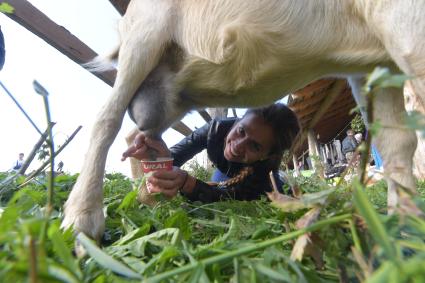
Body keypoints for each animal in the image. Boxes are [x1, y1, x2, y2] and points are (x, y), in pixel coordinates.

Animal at [61, 0, 422, 243]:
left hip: (168, 91)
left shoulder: (374, 65)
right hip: (146, 33)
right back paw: (82, 219)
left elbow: (397, 142)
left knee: (139, 133)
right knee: (106, 118)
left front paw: (405, 227)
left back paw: (150, 201)